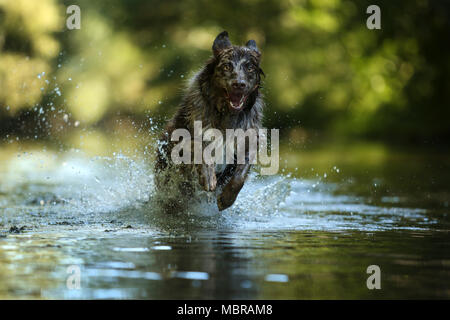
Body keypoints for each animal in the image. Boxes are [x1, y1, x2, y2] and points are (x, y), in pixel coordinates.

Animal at [156, 29, 266, 210]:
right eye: (227, 66)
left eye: (250, 67)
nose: (239, 84)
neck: (226, 115)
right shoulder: (184, 139)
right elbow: (199, 148)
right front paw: (208, 176)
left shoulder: (248, 142)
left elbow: (241, 174)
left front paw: (227, 198)